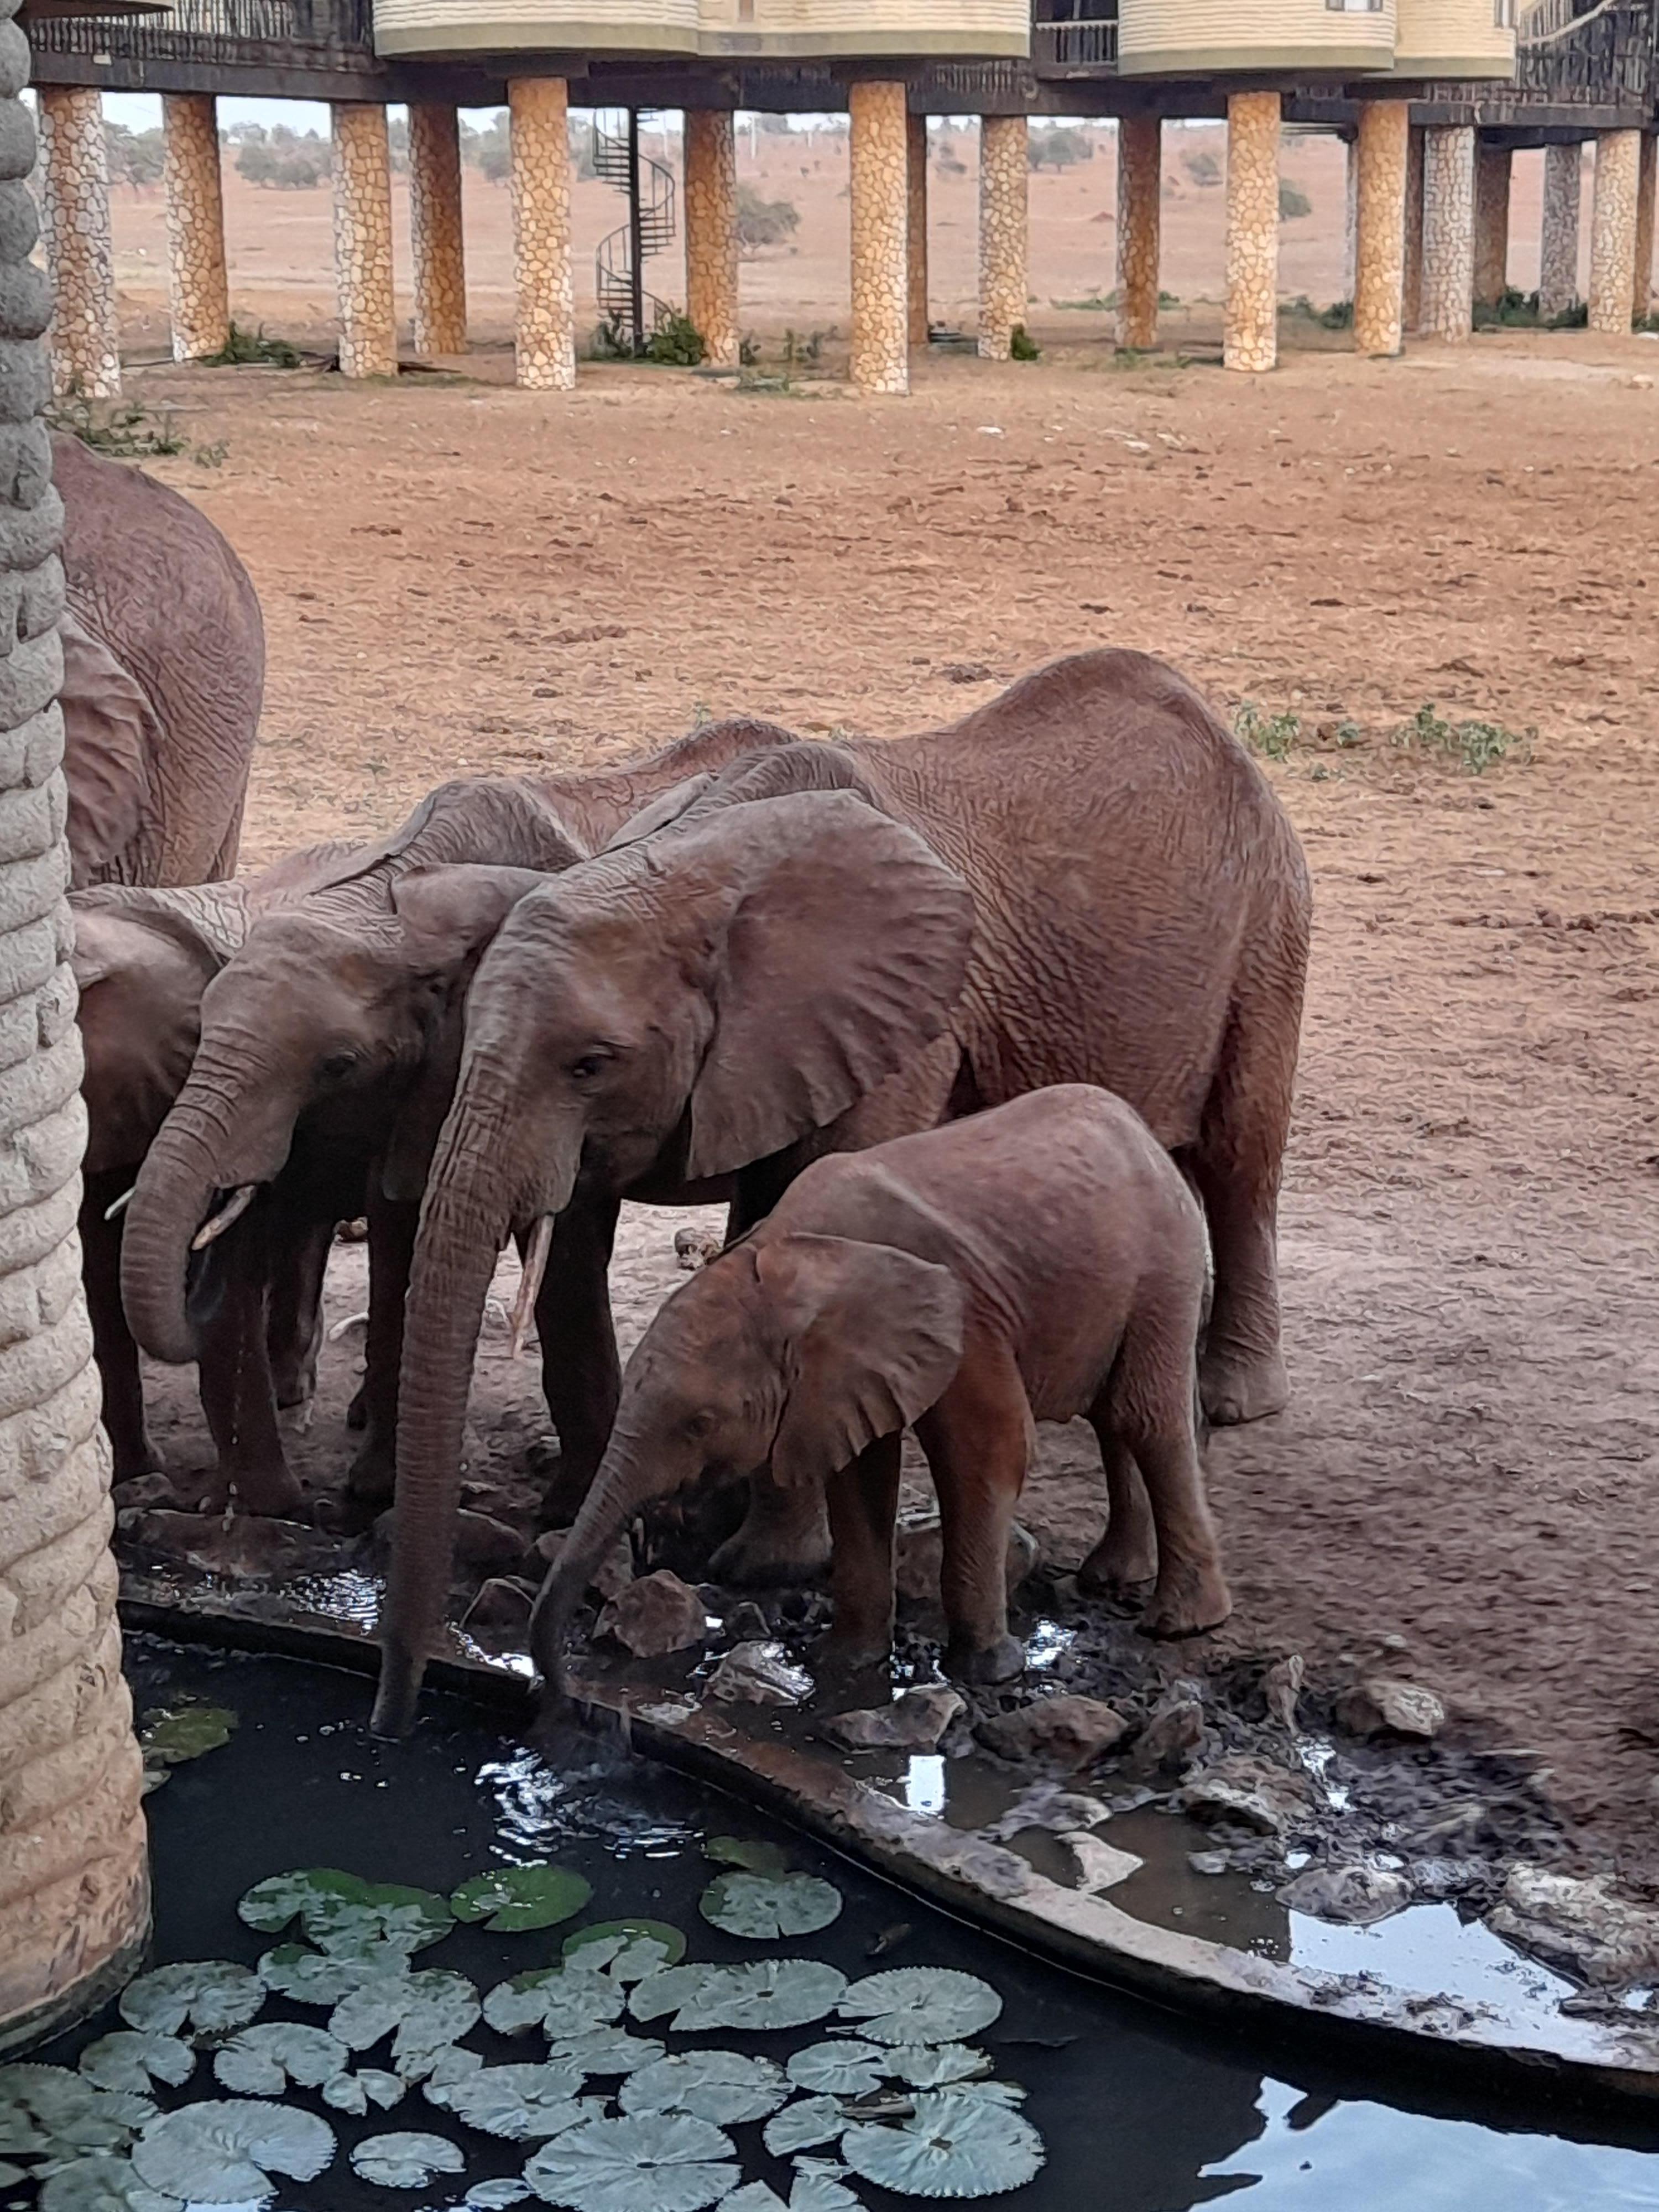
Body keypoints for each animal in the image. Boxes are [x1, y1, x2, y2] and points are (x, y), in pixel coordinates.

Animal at [533, 1084, 1239, 1690]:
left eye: (699, 1425)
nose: (570, 1691)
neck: (786, 1255)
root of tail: (1141, 1130)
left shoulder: (965, 1315)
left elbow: (987, 1454)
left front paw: (988, 1669)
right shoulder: (840, 1376)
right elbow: (859, 1476)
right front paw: (846, 1664)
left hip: (1165, 1263)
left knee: (1146, 1416)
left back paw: (1179, 1623)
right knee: (1113, 1416)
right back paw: (1113, 1580)